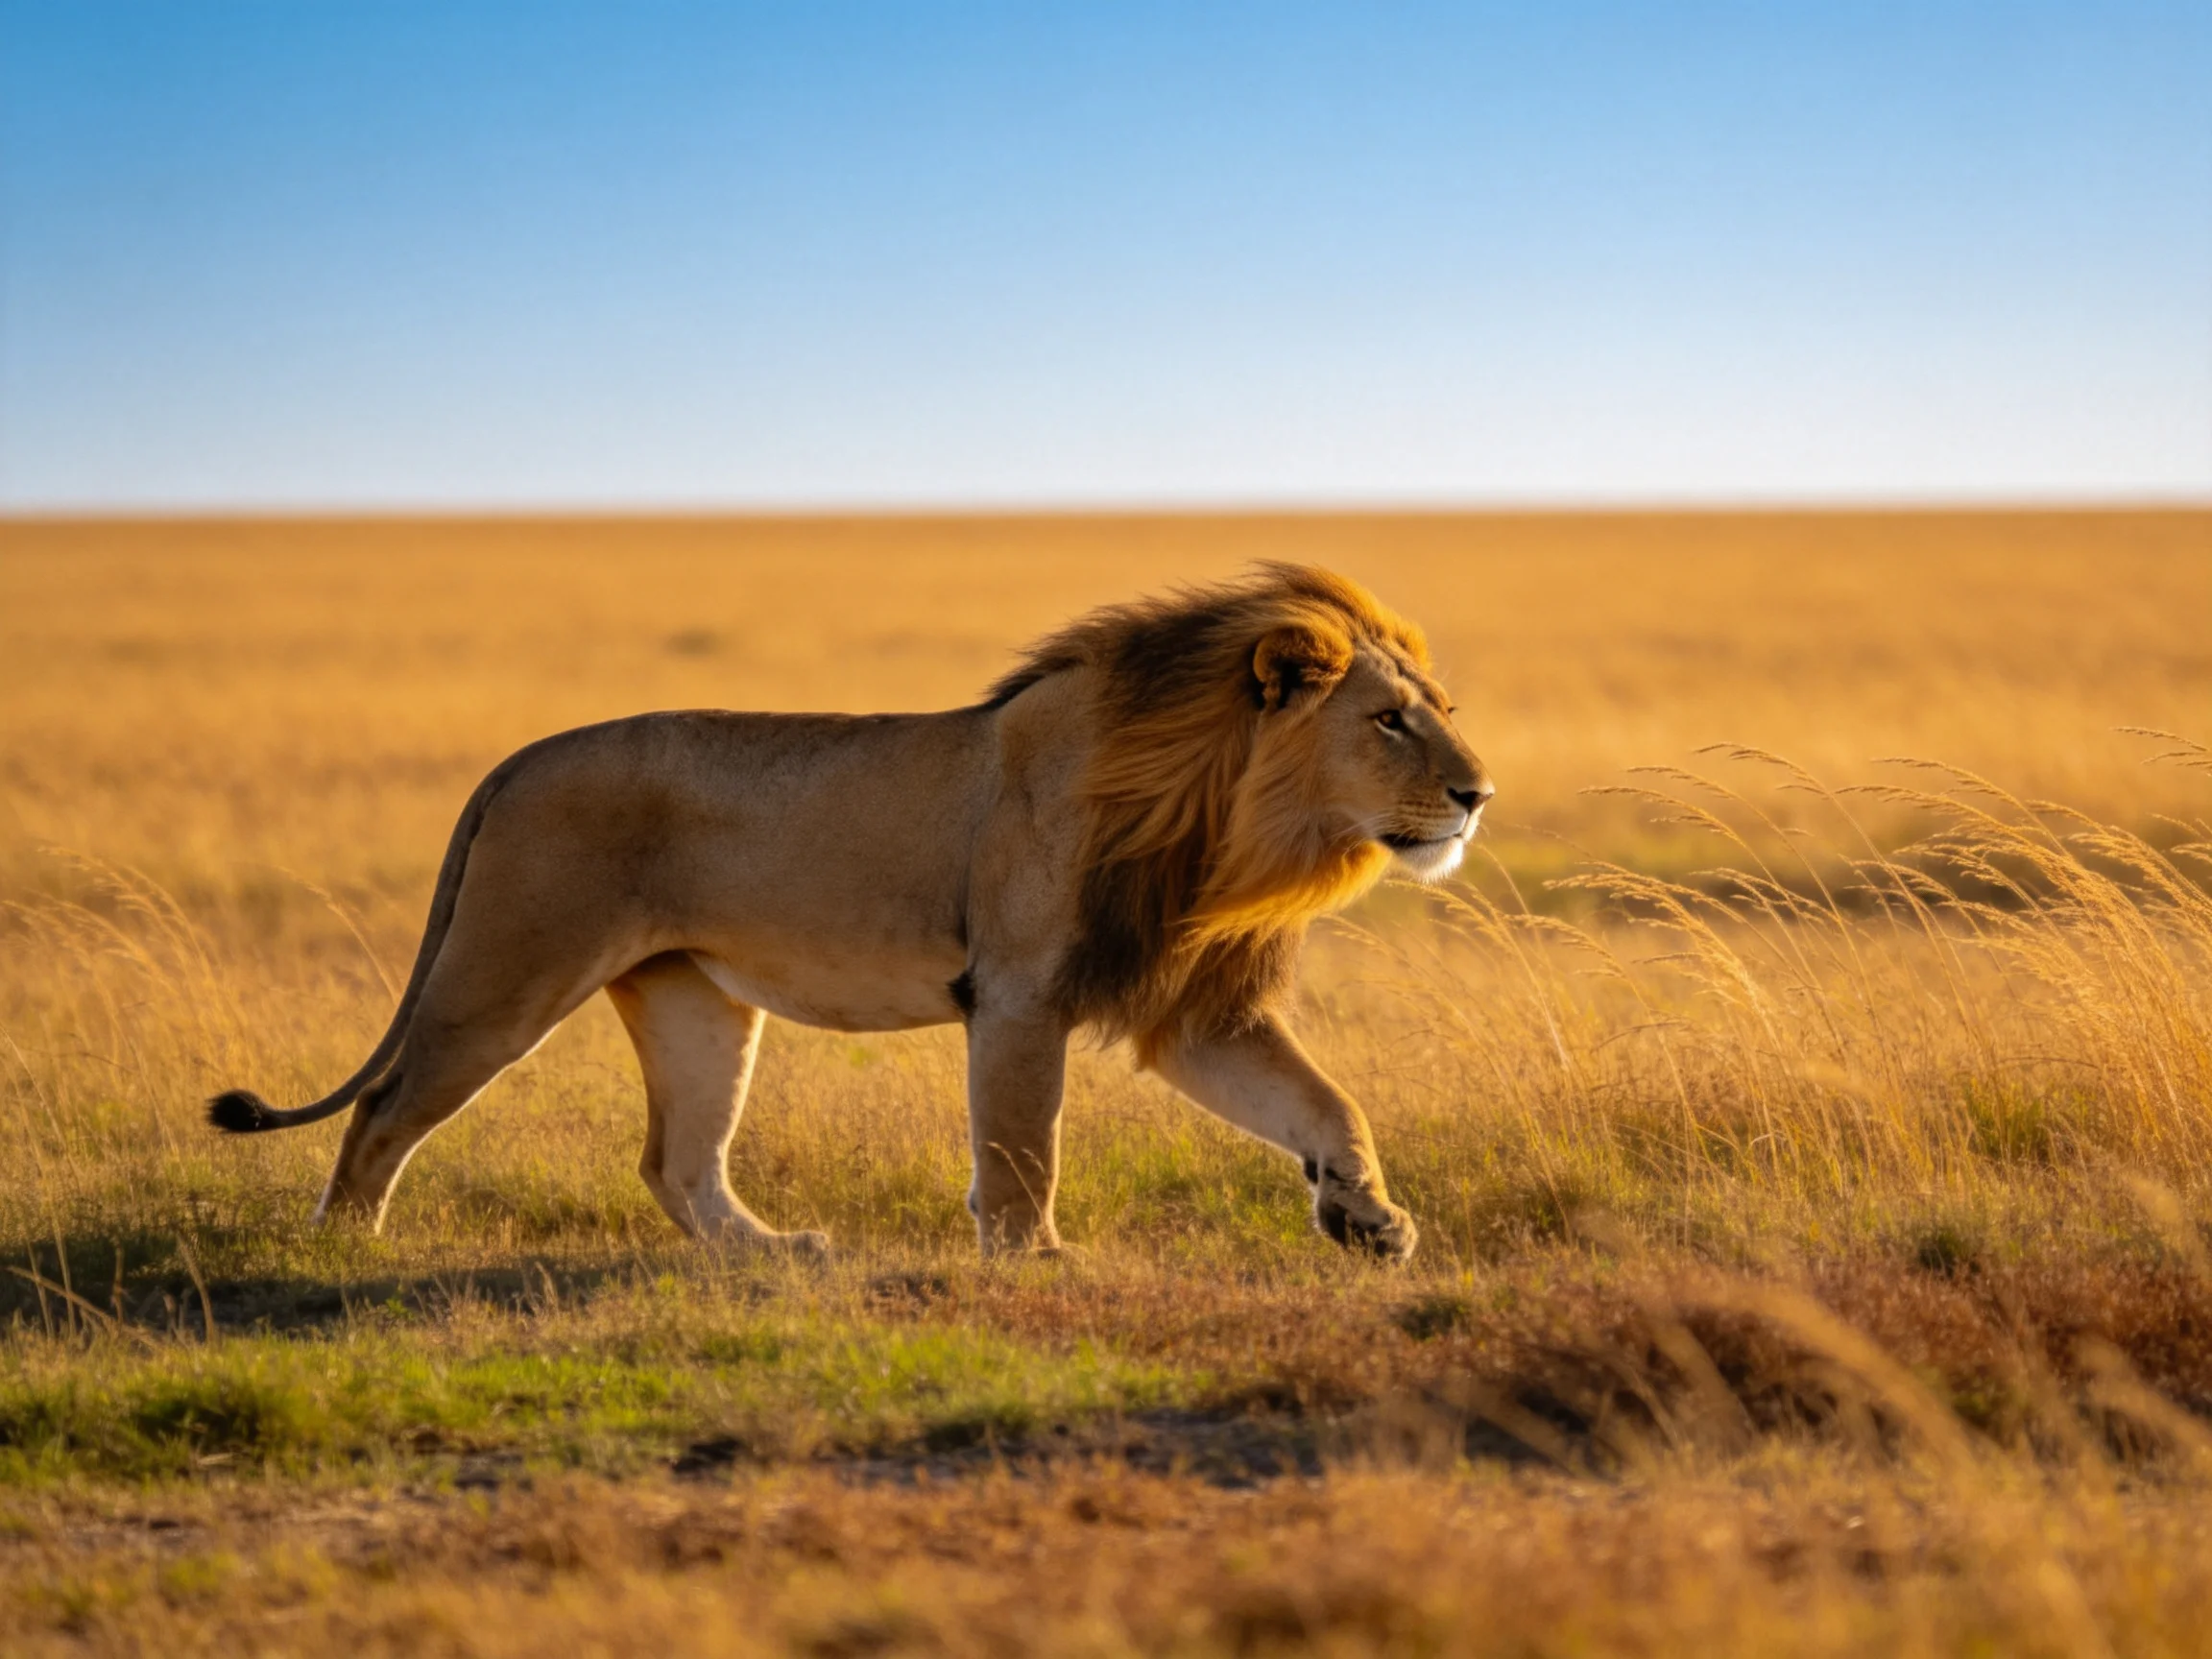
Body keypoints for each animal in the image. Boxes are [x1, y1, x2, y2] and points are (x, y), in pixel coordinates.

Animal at [209, 563, 1494, 1260]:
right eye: (1389, 721)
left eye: (1439, 709)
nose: (1479, 795)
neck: (1223, 816)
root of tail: (519, 759)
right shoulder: (1018, 996)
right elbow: (1023, 1145)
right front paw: (1033, 1261)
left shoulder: (1189, 1007)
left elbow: (1325, 1105)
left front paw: (1371, 1220)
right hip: (504, 976)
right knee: (383, 1108)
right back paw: (342, 1252)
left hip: (696, 1002)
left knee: (676, 1163)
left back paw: (777, 1260)